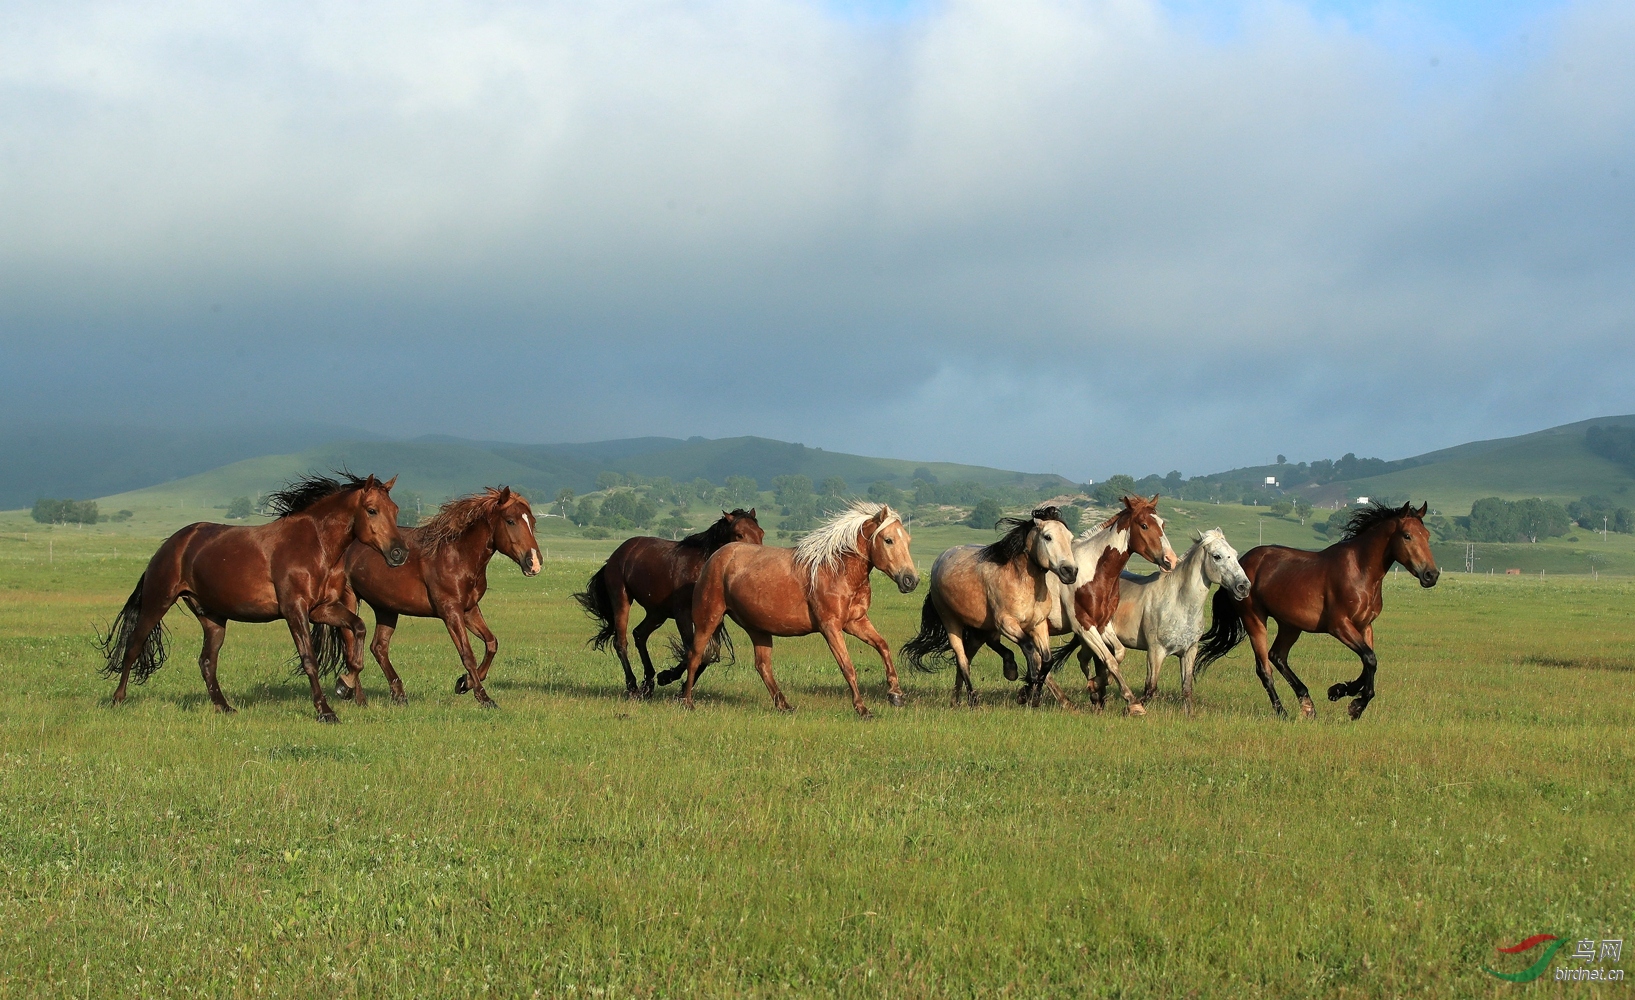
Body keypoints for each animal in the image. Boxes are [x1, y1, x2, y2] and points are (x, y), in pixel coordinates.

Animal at [99, 473, 408, 722]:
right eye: (372, 510)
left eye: (394, 510)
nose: (399, 553)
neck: (315, 545)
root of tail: (170, 544)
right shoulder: (294, 610)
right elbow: (309, 659)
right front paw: (325, 711)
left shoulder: (322, 609)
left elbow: (358, 629)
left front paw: (345, 683)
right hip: (157, 602)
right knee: (133, 646)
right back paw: (117, 699)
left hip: (212, 618)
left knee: (207, 662)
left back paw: (224, 707)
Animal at [335, 486, 546, 705]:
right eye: (510, 521)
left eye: (532, 521)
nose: (534, 563)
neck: (458, 556)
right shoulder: (450, 611)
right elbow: (467, 654)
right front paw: (483, 696)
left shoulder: (469, 610)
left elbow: (491, 643)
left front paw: (464, 683)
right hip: (349, 599)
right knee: (352, 647)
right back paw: (353, 693)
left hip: (386, 608)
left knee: (378, 647)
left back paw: (398, 695)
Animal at [575, 506, 765, 696]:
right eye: (739, 534)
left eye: (761, 533)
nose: (756, 558)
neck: (701, 569)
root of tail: (615, 556)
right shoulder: (683, 614)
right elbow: (690, 650)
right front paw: (667, 677)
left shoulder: (714, 618)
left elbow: (706, 654)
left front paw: (678, 686)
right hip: (622, 601)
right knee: (621, 642)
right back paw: (633, 686)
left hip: (657, 613)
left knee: (639, 634)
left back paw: (648, 684)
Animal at [667, 503, 922, 715]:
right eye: (888, 540)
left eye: (909, 540)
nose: (911, 580)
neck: (836, 570)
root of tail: (716, 557)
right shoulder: (831, 627)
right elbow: (847, 666)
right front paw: (862, 708)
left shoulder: (855, 622)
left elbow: (883, 646)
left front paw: (896, 694)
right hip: (708, 619)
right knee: (695, 656)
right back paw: (687, 701)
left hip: (758, 628)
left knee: (762, 666)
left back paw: (784, 705)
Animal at [1196, 500, 1438, 718]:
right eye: (1407, 535)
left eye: (1427, 535)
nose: (1431, 575)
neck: (1360, 571)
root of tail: (1240, 567)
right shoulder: (1340, 626)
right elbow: (1370, 659)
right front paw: (1355, 705)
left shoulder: (1365, 626)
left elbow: (1369, 661)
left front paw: (1340, 691)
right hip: (1254, 619)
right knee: (1264, 668)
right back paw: (1282, 712)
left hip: (1290, 624)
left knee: (1278, 656)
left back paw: (1307, 704)